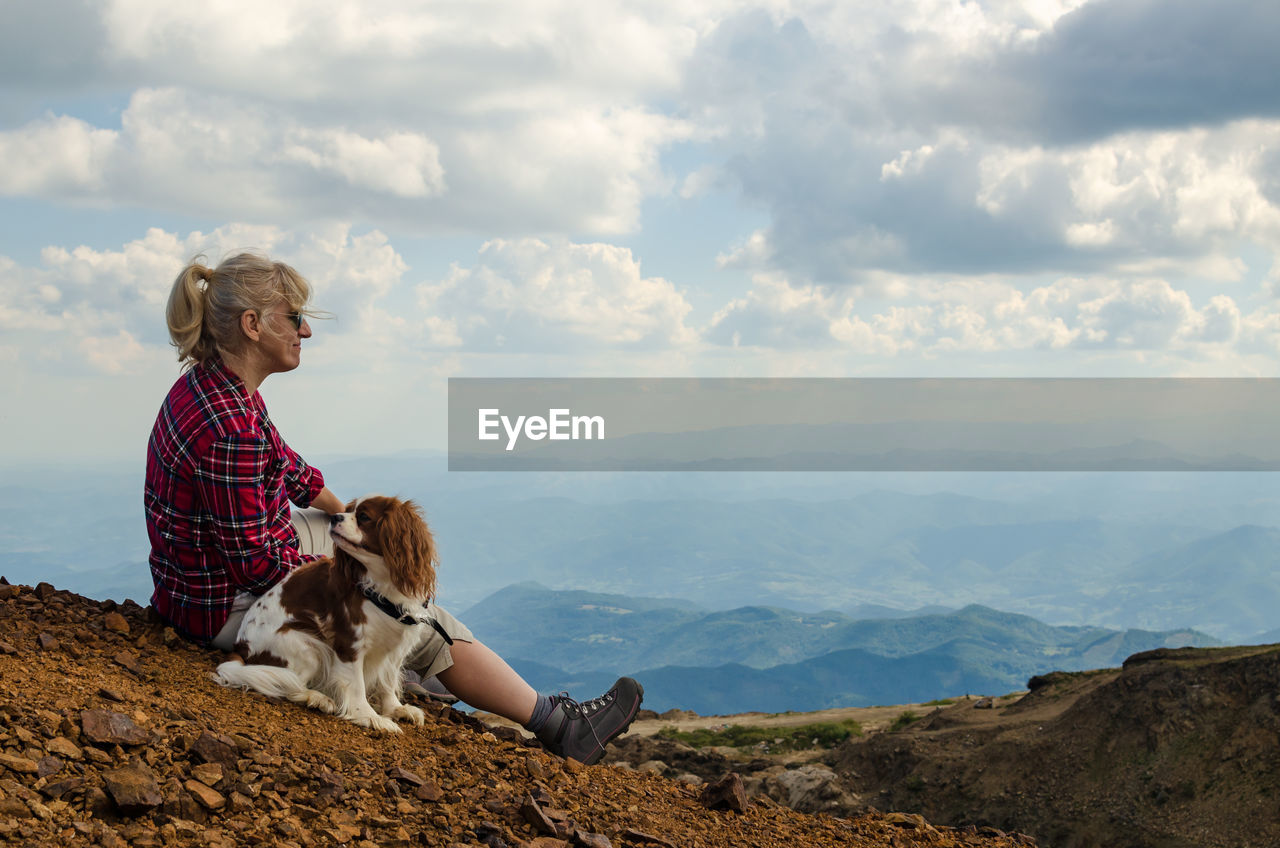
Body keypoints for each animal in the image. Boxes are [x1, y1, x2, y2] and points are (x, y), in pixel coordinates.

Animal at [215, 494, 440, 732]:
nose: (335, 517)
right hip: (309, 647)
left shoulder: (397, 646)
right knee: (290, 684)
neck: (382, 583)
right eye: (348, 511)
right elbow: (356, 684)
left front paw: (396, 709)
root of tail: (240, 647)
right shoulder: (349, 642)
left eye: (363, 516)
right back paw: (316, 697)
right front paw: (370, 716)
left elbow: (387, 680)